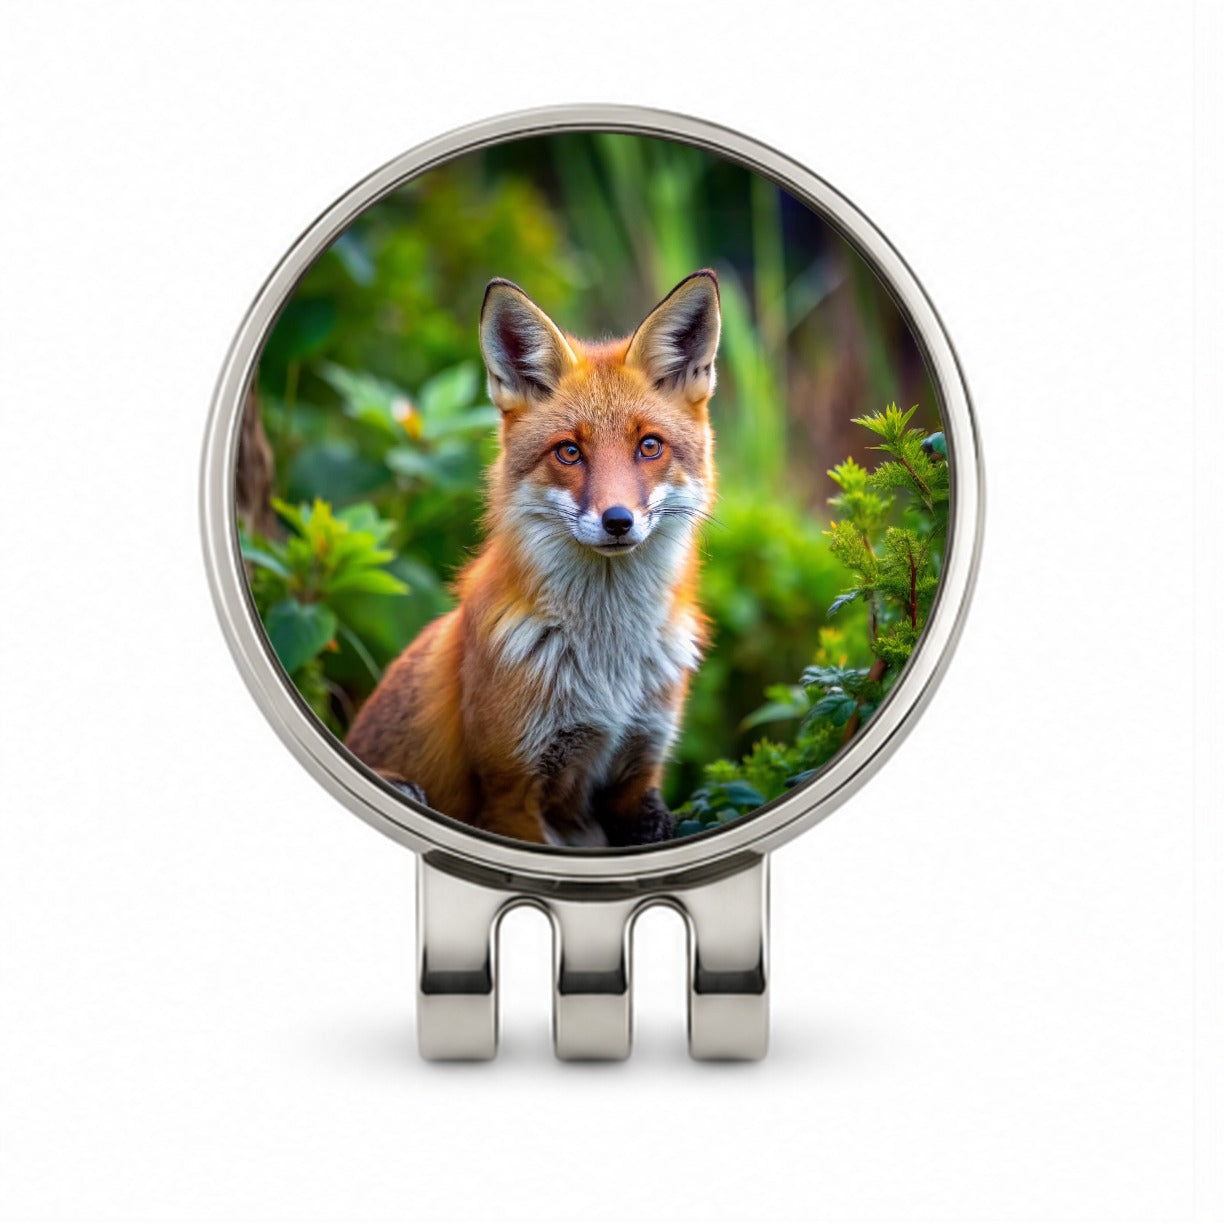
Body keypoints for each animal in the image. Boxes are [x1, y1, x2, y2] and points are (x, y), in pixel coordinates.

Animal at [345, 269, 722, 847]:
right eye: (569, 452)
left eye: (650, 447)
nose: (618, 520)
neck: (608, 669)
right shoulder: (510, 793)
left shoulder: (638, 776)